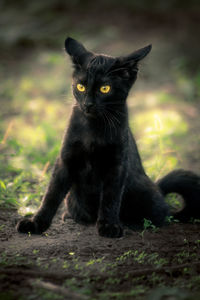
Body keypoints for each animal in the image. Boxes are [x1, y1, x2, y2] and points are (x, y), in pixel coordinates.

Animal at [16, 37, 200, 238]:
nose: (88, 104)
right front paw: (35, 223)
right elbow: (51, 195)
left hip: (145, 194)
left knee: (163, 215)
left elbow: (110, 197)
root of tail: (158, 187)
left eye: (105, 88)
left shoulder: (116, 164)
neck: (93, 130)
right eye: (81, 86)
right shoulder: (66, 160)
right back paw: (71, 217)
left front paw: (109, 226)